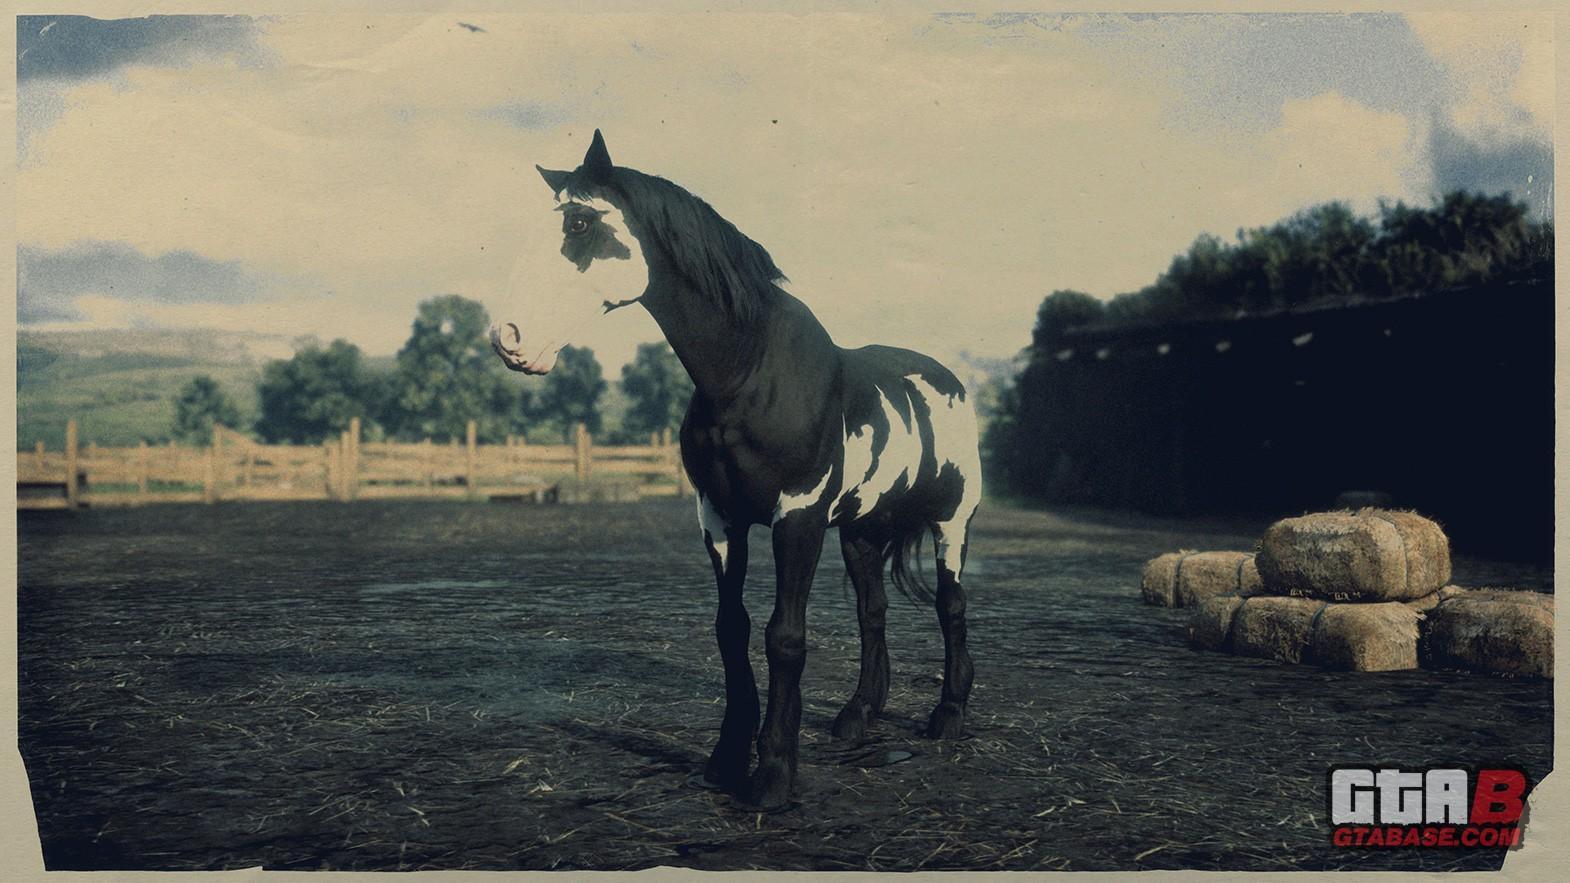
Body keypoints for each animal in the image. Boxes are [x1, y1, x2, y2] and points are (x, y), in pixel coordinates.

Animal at [489, 127, 979, 810]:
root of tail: (952, 381)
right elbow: (731, 628)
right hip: (861, 530)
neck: (749, 374)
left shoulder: (797, 517)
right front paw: (725, 760)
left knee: (951, 606)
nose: (508, 337)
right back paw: (858, 716)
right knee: (873, 611)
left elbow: (784, 636)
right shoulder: (720, 518)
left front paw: (772, 773)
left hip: (951, 521)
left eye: (581, 222)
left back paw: (948, 716)